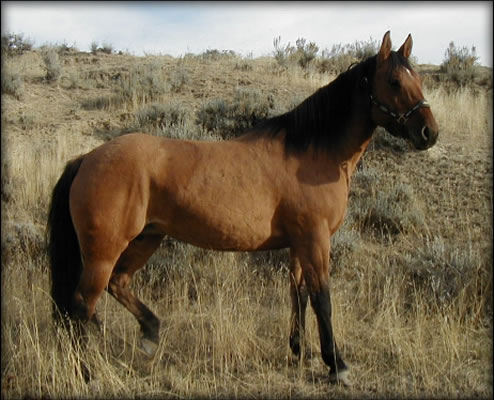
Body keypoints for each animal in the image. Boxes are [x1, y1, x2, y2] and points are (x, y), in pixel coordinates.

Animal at [47, 32, 440, 384]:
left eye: (418, 78)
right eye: (394, 81)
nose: (429, 133)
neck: (311, 152)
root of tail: (86, 159)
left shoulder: (299, 245)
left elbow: (298, 295)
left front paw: (300, 350)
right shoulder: (315, 241)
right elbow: (322, 300)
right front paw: (336, 364)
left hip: (146, 239)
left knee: (117, 284)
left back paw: (151, 333)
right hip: (104, 251)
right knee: (81, 306)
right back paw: (88, 374)